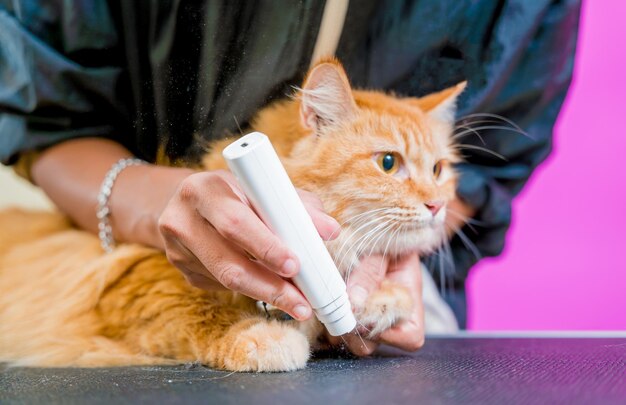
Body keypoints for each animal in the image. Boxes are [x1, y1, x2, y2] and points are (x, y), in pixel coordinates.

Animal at [0, 58, 458, 370]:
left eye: (438, 170)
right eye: (388, 163)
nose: (438, 206)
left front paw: (379, 301)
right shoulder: (131, 286)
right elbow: (196, 312)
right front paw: (261, 336)